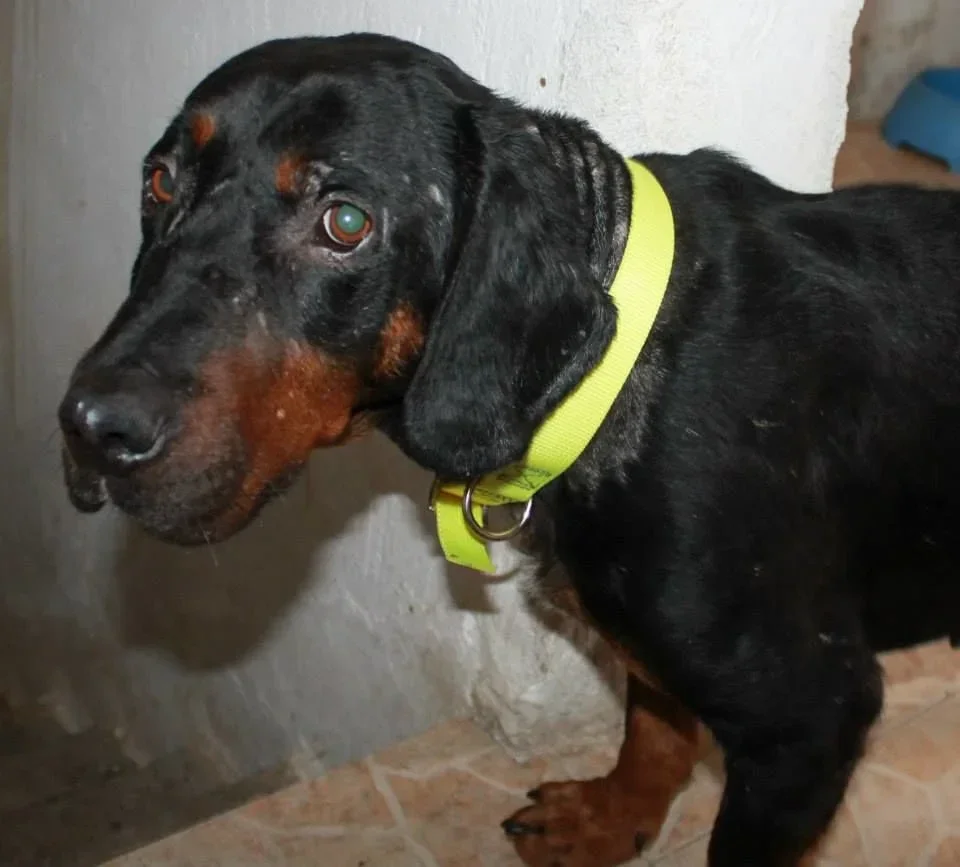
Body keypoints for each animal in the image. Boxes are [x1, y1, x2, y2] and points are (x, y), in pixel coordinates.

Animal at [58, 34, 960, 867]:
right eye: (160, 180)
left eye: (345, 223)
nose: (90, 428)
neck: (610, 370)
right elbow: (655, 725)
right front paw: (609, 818)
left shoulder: (809, 719)